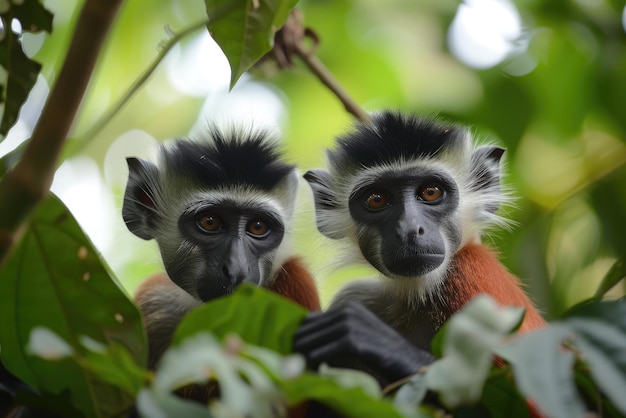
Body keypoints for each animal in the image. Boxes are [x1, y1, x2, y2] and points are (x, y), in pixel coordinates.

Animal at [292, 110, 540, 388]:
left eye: (431, 192)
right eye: (376, 199)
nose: (410, 229)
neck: (418, 293)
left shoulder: (477, 273)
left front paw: (376, 340)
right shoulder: (356, 295)